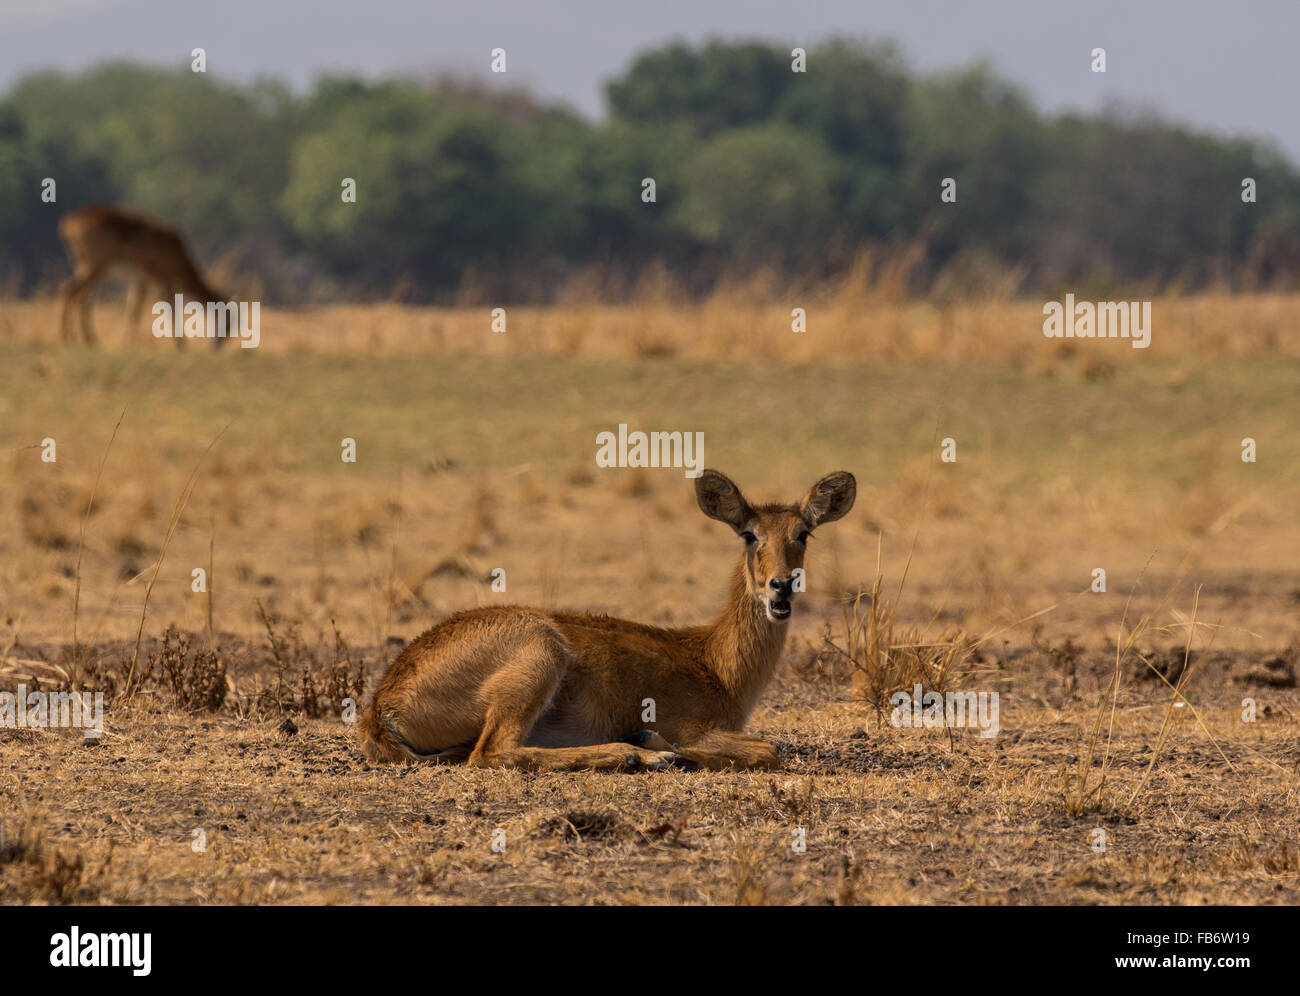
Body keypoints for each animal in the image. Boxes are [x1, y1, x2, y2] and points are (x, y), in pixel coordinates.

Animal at [57, 202, 228, 348]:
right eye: (228, 317)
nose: (216, 347)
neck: (176, 251)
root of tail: (68, 223)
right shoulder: (162, 280)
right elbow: (171, 310)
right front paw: (182, 346)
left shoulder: (140, 282)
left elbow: (133, 311)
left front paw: (128, 344)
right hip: (94, 267)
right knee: (70, 291)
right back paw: (70, 339)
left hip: (89, 269)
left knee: (81, 297)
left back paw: (85, 340)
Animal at [361, 468, 857, 769]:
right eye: (750, 534)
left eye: (803, 533)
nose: (781, 586)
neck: (713, 661)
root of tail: (381, 706)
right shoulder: (694, 727)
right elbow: (767, 749)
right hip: (539, 655)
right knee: (492, 752)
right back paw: (641, 754)